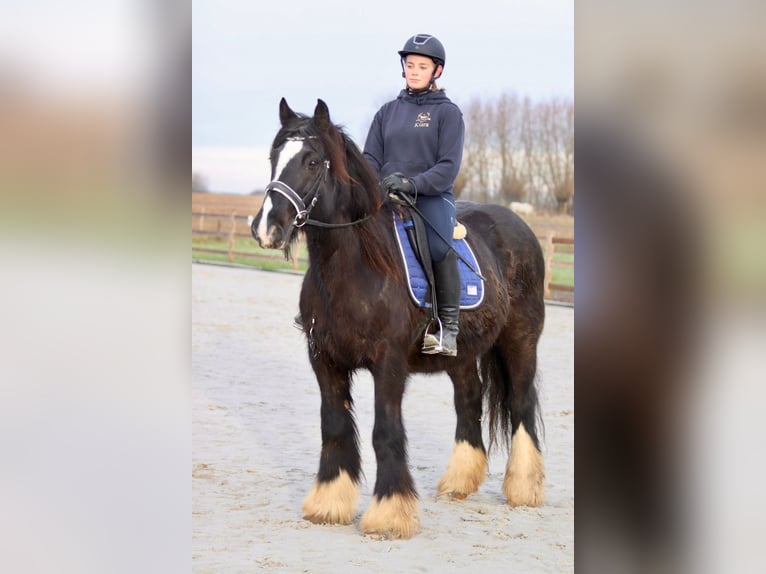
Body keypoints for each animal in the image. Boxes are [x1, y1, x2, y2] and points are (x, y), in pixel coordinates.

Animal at [252, 98, 544, 540]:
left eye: (312, 160)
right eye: (274, 157)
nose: (267, 227)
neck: (356, 268)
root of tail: (519, 226)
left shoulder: (388, 364)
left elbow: (385, 432)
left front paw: (390, 513)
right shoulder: (325, 362)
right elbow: (334, 426)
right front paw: (328, 502)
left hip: (521, 340)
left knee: (521, 403)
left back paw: (524, 488)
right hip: (461, 354)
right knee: (469, 402)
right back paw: (459, 482)